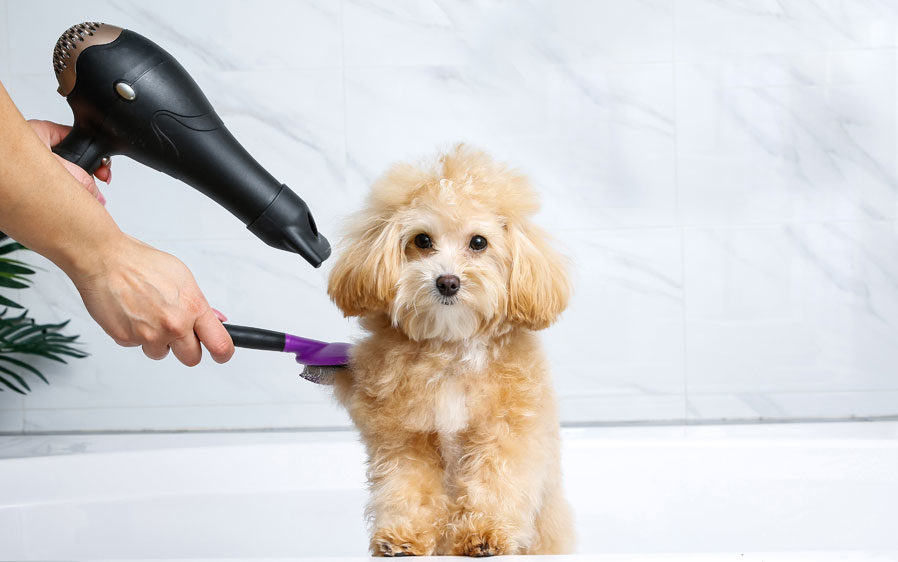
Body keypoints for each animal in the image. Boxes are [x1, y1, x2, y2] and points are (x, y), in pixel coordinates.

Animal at [326, 144, 572, 556]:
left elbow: (495, 481)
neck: (452, 349)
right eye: (422, 240)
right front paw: (402, 537)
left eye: (479, 242)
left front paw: (484, 534)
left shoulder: (505, 433)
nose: (447, 282)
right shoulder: (404, 438)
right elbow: (407, 486)